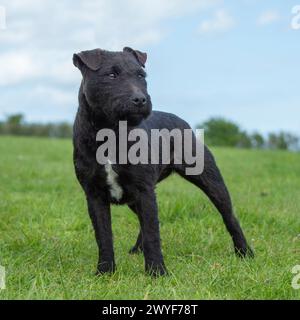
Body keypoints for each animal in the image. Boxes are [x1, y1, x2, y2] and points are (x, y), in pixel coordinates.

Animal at [72, 46, 253, 276]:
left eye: (142, 75)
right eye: (111, 75)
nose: (140, 99)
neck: (111, 134)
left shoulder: (144, 190)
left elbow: (152, 233)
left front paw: (157, 272)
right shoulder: (95, 195)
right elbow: (103, 236)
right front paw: (105, 271)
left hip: (211, 180)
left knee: (229, 216)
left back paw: (244, 252)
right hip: (135, 198)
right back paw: (136, 250)